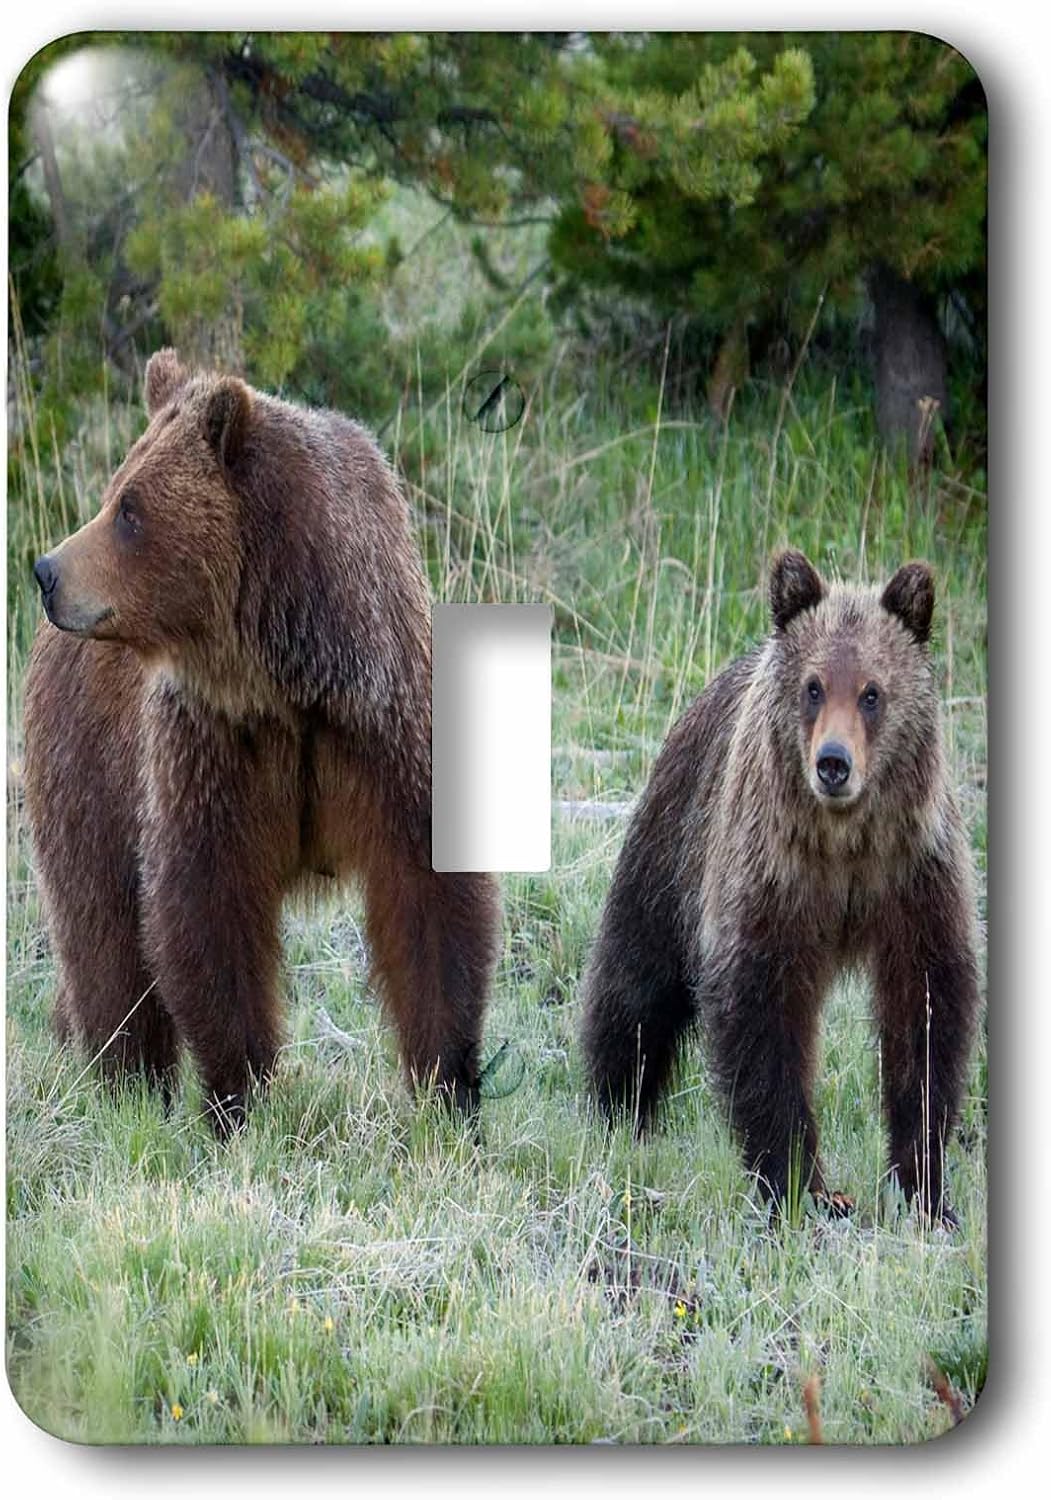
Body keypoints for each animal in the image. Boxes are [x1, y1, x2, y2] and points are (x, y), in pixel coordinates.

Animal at [24, 348, 500, 1133]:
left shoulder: (387, 737)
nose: (47, 571)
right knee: (103, 935)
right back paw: (124, 1078)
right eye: (117, 489)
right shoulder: (208, 750)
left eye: (130, 508)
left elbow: (432, 897)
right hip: (88, 766)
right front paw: (238, 1097)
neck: (290, 679)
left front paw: (449, 1085)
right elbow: (204, 910)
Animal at [580, 549, 981, 1222]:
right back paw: (615, 1104)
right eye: (813, 686)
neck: (844, 844)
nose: (833, 763)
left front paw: (925, 1187)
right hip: (673, 839)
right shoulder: (772, 878)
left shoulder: (913, 873)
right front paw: (800, 1182)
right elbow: (762, 1014)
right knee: (636, 978)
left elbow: (925, 1010)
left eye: (872, 692)